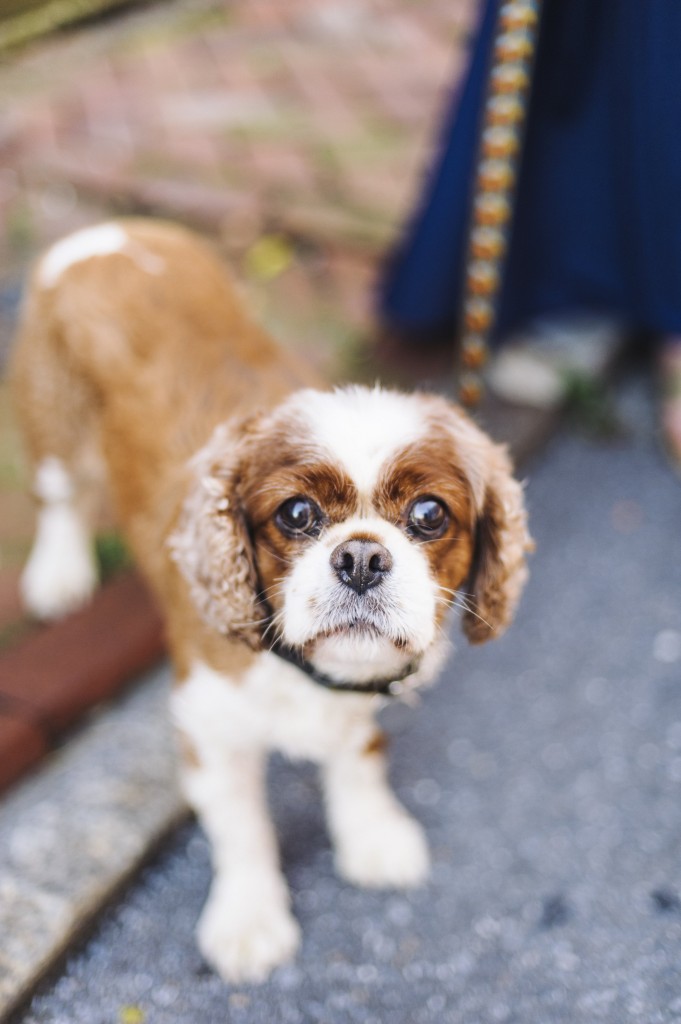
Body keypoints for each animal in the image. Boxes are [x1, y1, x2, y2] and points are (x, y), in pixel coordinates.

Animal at [11, 222, 532, 983]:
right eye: (296, 514)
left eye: (430, 514)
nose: (362, 557)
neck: (306, 669)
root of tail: (109, 232)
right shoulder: (209, 727)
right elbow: (243, 830)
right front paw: (249, 919)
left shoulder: (360, 705)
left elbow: (358, 760)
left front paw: (372, 836)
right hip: (55, 416)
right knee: (61, 496)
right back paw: (59, 571)